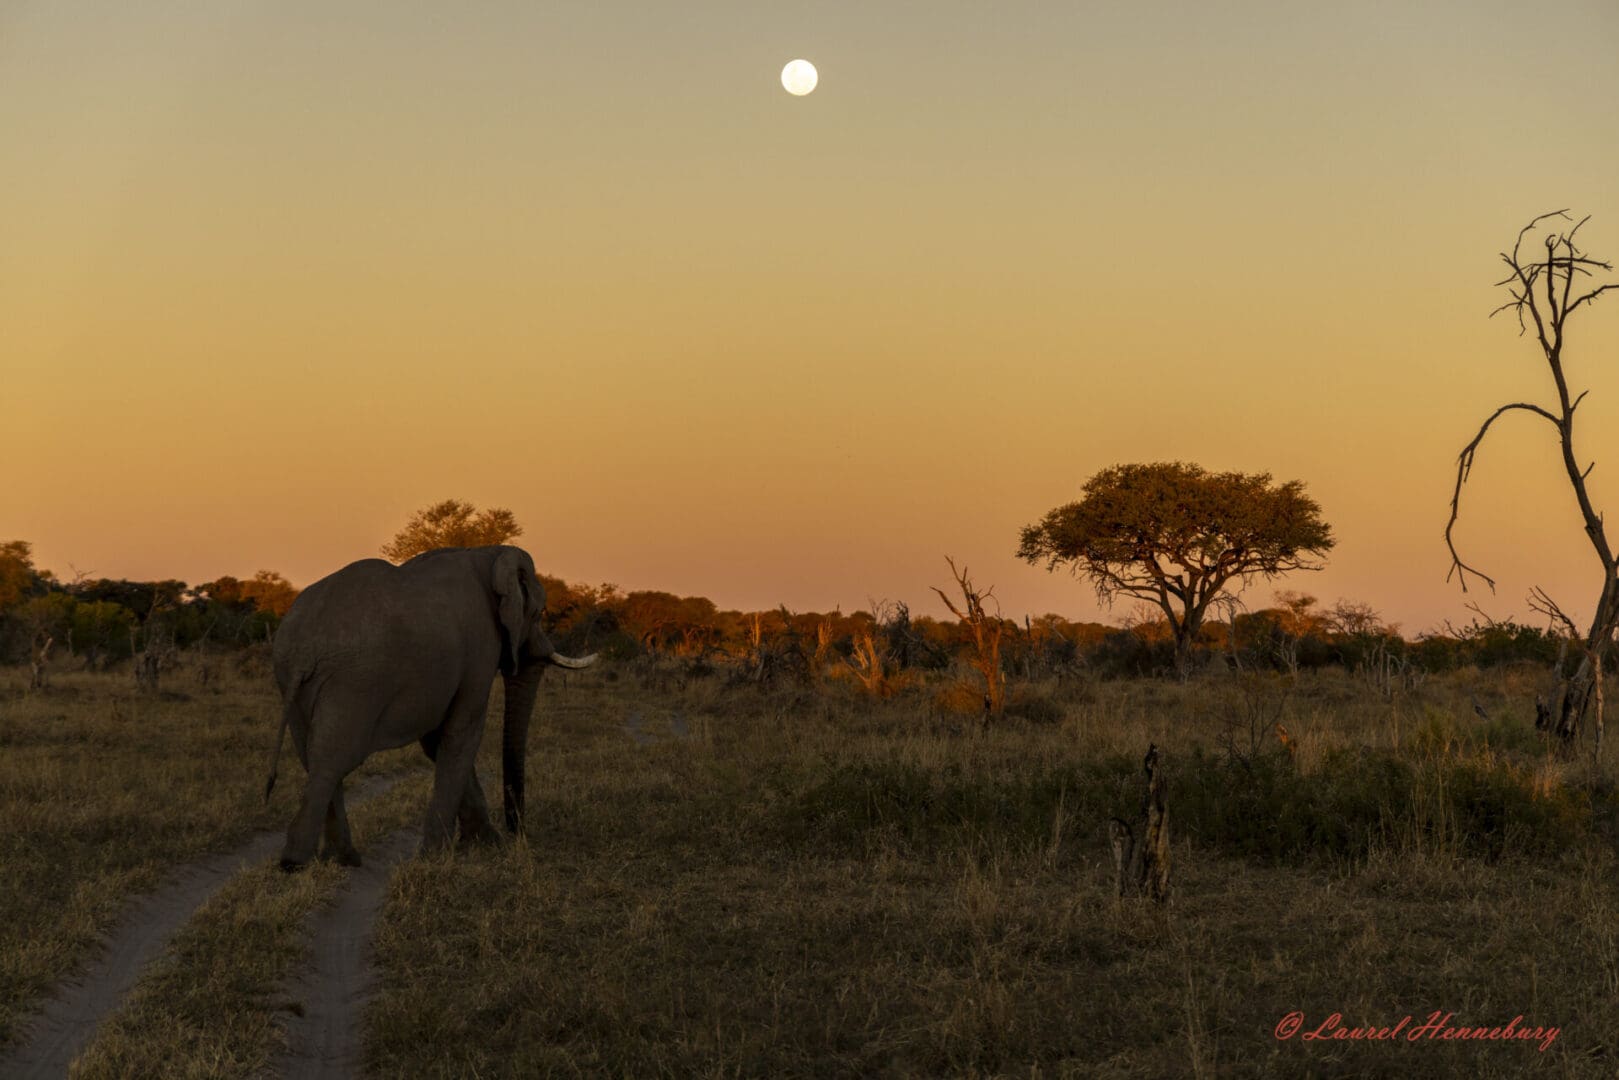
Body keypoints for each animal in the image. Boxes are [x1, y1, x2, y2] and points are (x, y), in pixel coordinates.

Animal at [264, 545, 595, 871]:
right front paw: (437, 856)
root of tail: (303, 647)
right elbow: (463, 734)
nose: (518, 832)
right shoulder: (481, 647)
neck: (490, 554)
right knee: (332, 761)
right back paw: (298, 862)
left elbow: (438, 741)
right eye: (539, 613)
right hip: (353, 683)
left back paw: (341, 859)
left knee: (313, 756)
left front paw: (483, 843)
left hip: (289, 677)